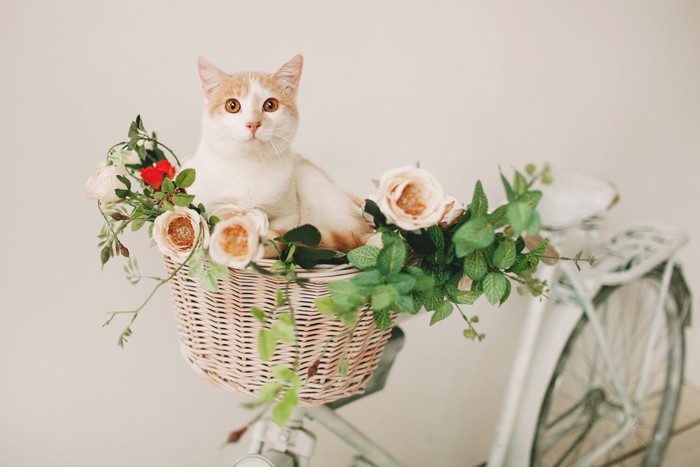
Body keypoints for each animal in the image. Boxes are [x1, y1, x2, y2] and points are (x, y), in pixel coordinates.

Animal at [185, 55, 372, 254]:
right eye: (232, 105)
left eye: (270, 105)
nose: (253, 123)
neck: (249, 163)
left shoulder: (289, 215)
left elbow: (282, 232)